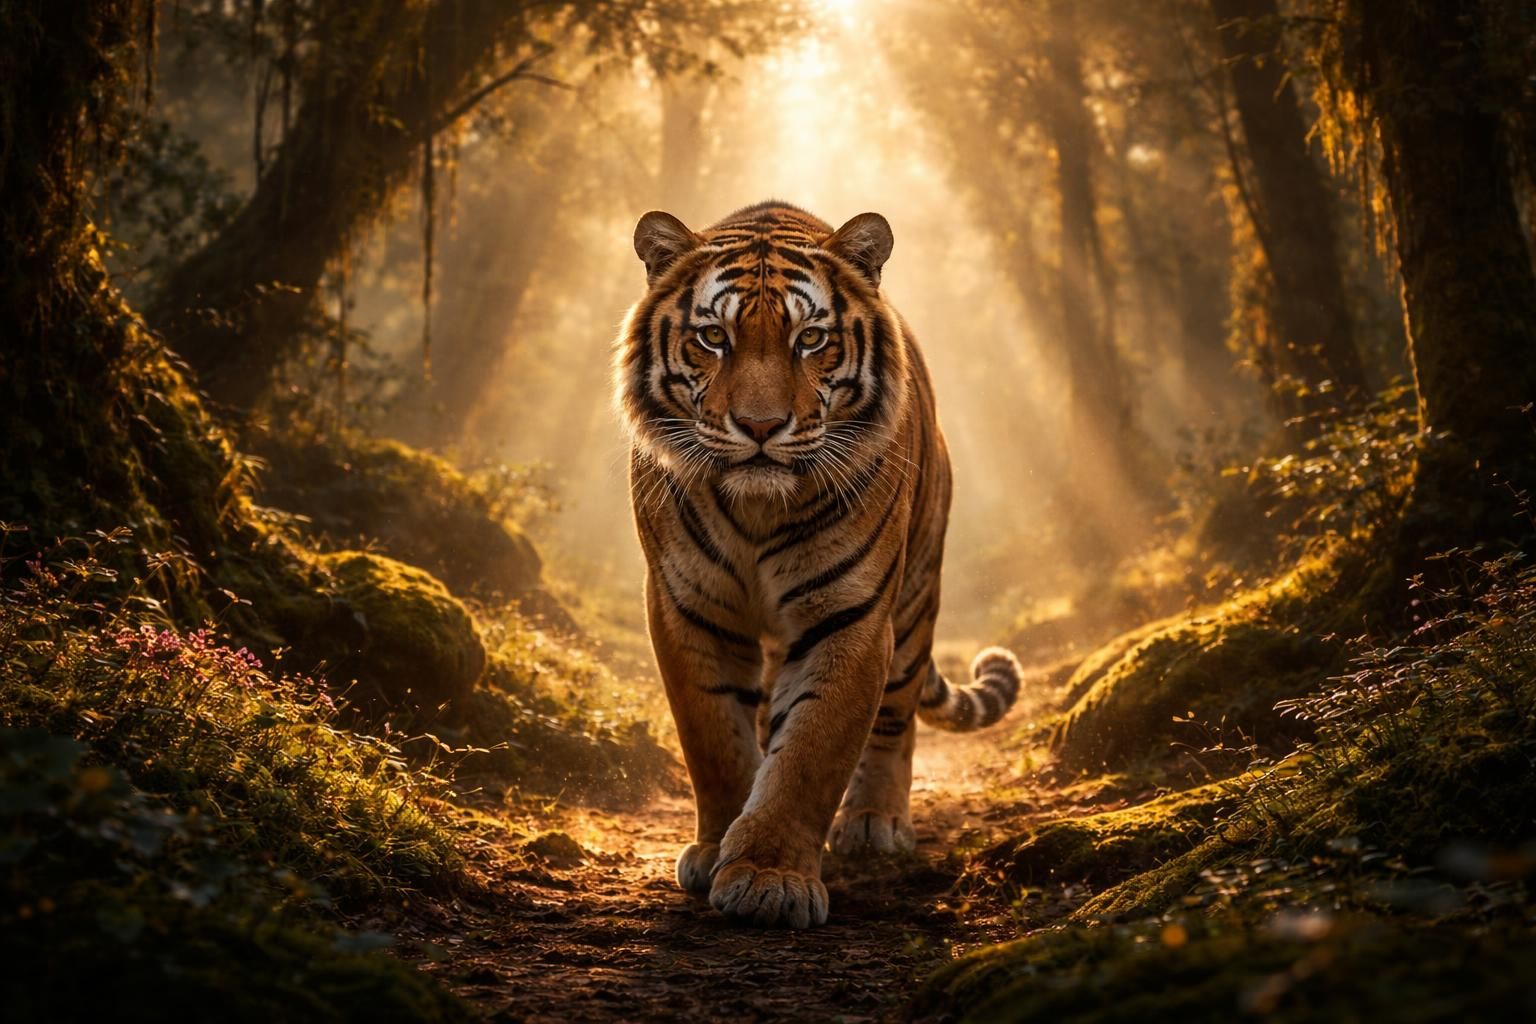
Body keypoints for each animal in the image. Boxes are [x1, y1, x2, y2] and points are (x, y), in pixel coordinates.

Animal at [614, 201, 1023, 929]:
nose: (760, 426)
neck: (756, 510)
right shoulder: (687, 608)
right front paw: (718, 849)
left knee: (896, 716)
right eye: (713, 337)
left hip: (914, 599)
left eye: (810, 340)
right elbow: (716, 741)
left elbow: (810, 751)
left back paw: (873, 824)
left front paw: (768, 878)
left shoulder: (850, 617)